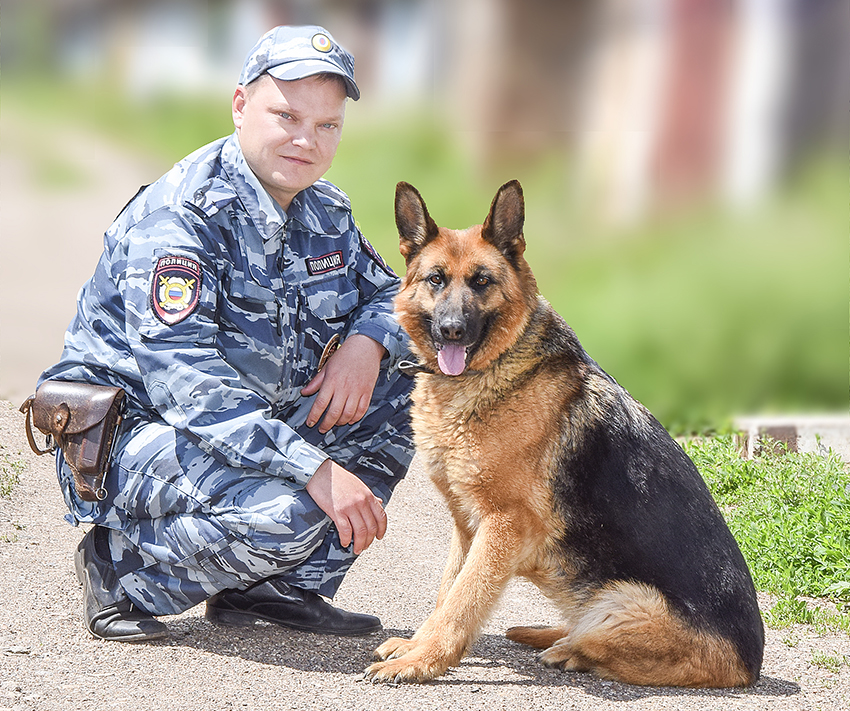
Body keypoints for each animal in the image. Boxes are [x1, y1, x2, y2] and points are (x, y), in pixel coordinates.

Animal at [364, 181, 760, 688]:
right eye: (435, 279)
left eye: (482, 282)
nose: (451, 330)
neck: (499, 367)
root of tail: (750, 662)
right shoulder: (467, 526)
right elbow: (448, 590)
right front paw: (416, 646)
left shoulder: (502, 524)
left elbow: (464, 598)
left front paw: (422, 660)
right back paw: (541, 633)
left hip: (622, 600)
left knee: (602, 643)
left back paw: (566, 650)